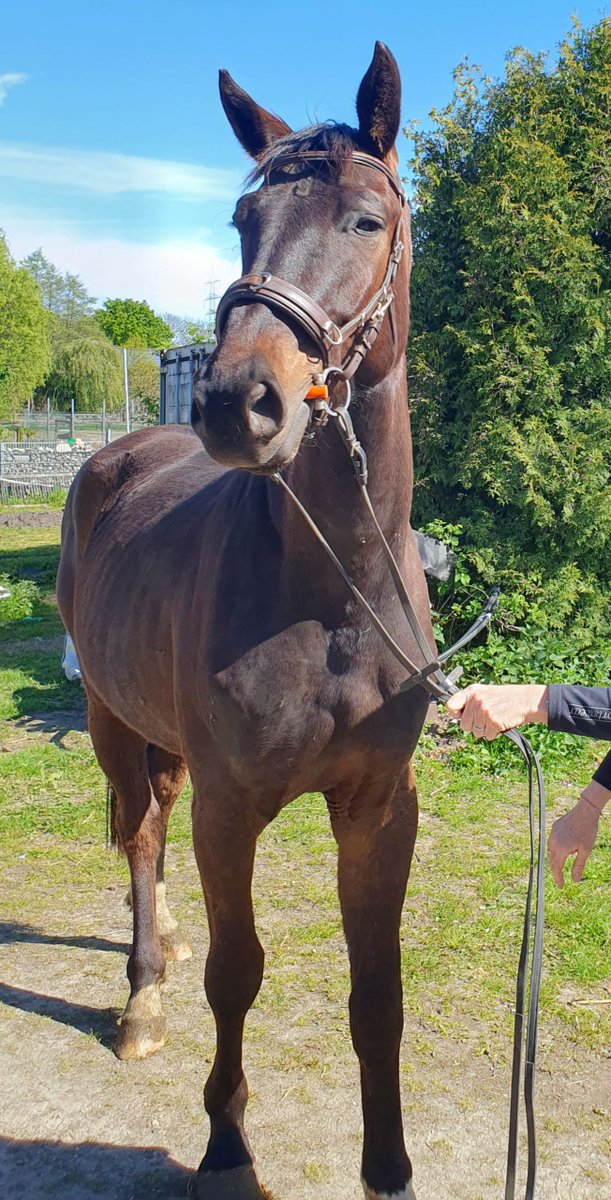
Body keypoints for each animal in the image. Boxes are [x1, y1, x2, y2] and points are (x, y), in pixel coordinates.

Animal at [57, 42, 438, 1200]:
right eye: (240, 220)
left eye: (365, 218)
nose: (236, 403)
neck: (333, 593)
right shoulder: (234, 807)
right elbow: (239, 972)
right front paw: (227, 1147)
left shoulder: (378, 808)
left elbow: (377, 993)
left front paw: (389, 1167)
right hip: (109, 717)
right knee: (140, 832)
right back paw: (144, 991)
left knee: (153, 821)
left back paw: (164, 940)